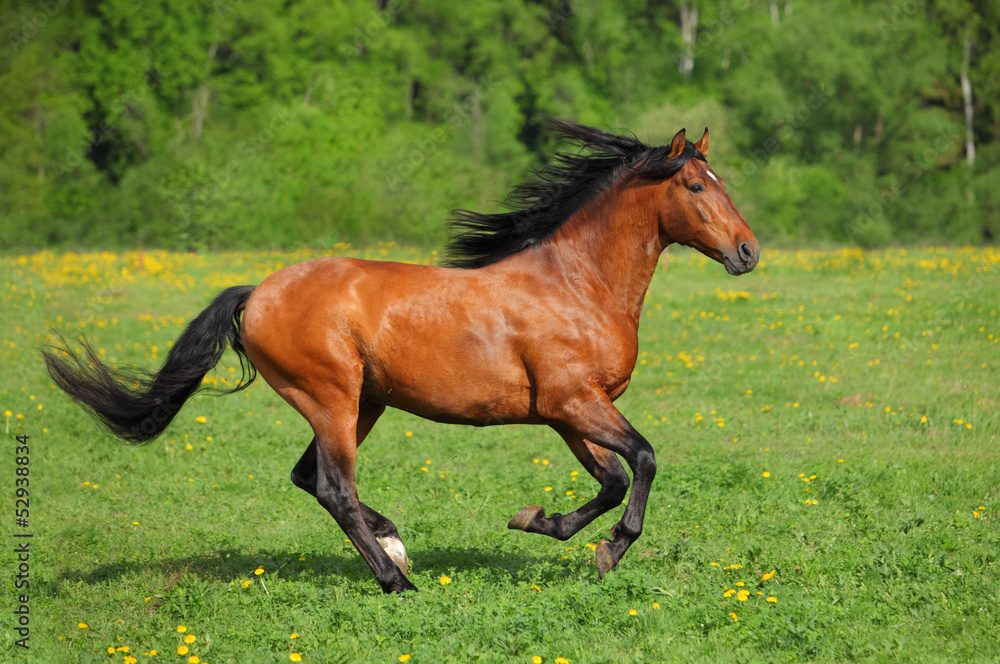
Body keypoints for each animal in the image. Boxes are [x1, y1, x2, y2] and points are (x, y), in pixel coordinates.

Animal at [44, 119, 759, 594]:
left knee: (312, 479)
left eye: (720, 181)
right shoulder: (574, 401)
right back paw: (396, 579)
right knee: (334, 486)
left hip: (364, 403)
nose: (748, 251)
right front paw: (609, 550)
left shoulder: (569, 413)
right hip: (331, 397)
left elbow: (610, 479)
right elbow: (644, 459)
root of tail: (258, 293)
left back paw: (396, 544)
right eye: (696, 186)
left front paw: (538, 521)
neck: (578, 284)